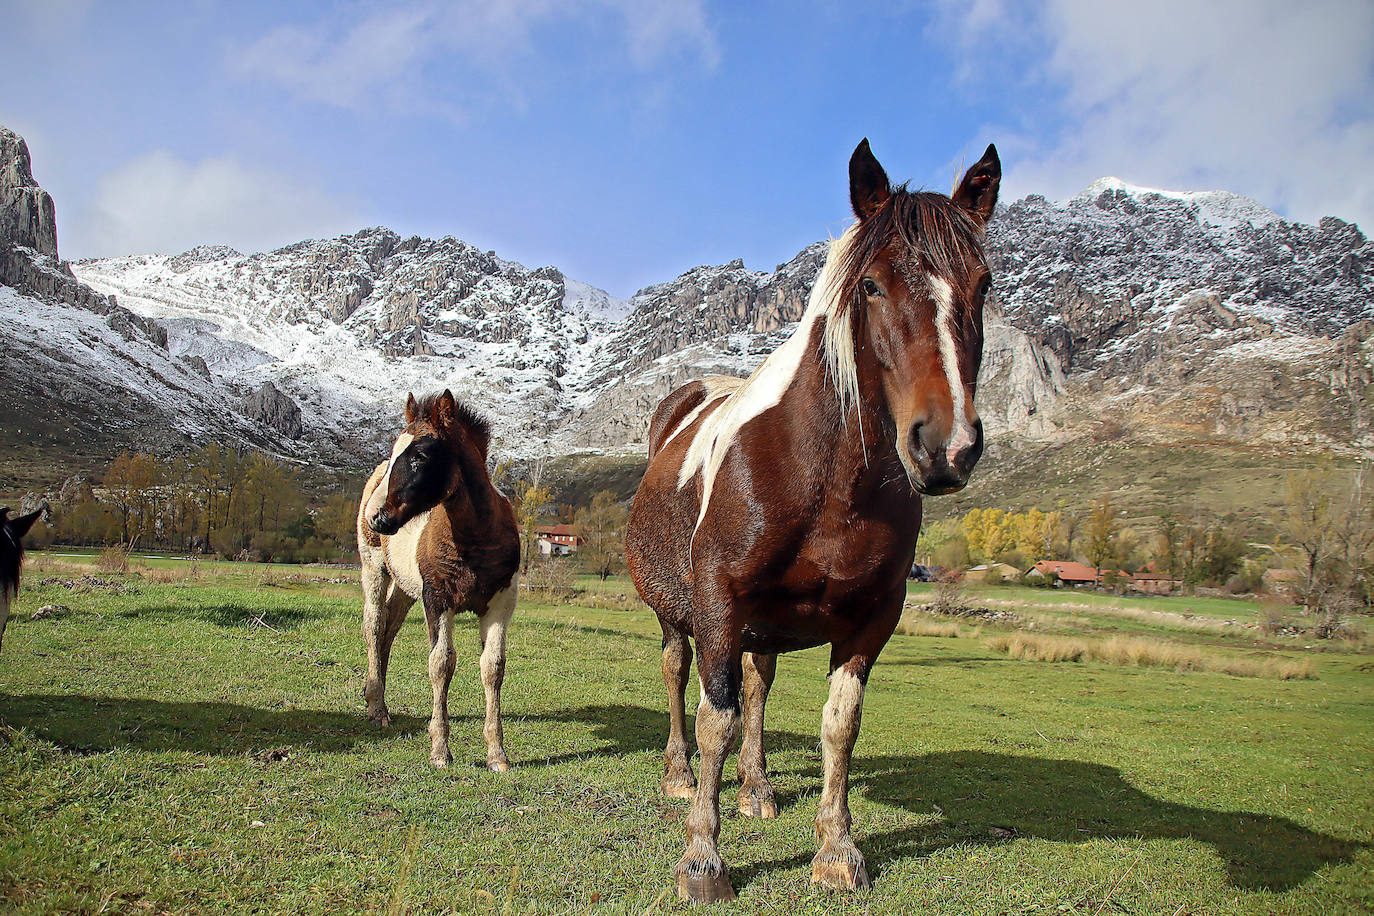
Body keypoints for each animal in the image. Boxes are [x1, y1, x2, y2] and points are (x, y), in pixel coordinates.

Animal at [357, 390, 521, 771]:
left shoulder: (501, 602)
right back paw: (376, 707)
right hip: (374, 568)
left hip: (406, 587)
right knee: (373, 625)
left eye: (420, 456)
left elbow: (493, 667)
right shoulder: (437, 599)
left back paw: (380, 702)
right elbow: (441, 663)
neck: (474, 538)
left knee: (389, 627)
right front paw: (440, 750)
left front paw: (497, 755)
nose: (376, 517)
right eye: (395, 453)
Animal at [626, 138, 1000, 902]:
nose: (947, 445)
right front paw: (703, 856)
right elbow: (714, 717)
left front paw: (837, 848)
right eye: (873, 286)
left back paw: (758, 787)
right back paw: (680, 776)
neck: (826, 480)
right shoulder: (717, 602)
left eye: (980, 286)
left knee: (760, 687)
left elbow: (839, 724)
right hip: (677, 611)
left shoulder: (873, 616)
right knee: (677, 674)